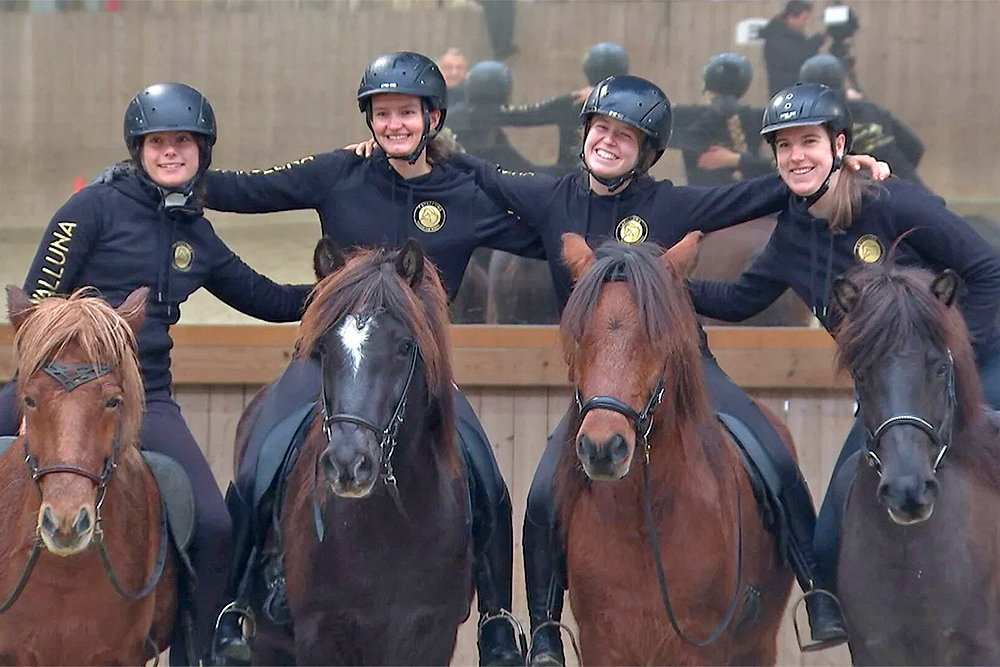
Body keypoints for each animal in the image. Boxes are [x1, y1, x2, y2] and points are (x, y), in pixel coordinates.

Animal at [234, 239, 472, 664]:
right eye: (324, 348)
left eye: (404, 346)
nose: (348, 463)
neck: (390, 527)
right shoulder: (321, 634)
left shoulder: (432, 634)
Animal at [556, 232, 796, 664]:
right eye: (579, 337)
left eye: (657, 337)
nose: (603, 448)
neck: (640, 520)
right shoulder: (602, 644)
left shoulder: (701, 647)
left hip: (758, 645)